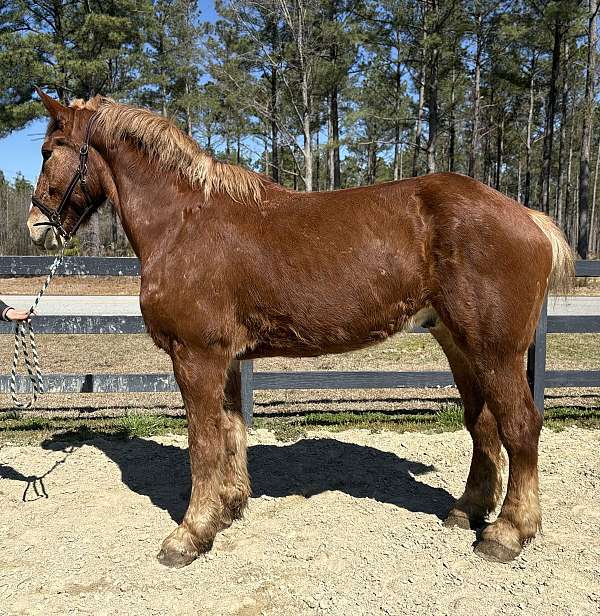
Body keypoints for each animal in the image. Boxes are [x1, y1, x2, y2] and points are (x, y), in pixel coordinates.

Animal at [27, 91, 572, 568]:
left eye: (49, 150)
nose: (36, 225)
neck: (183, 222)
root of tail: (528, 216)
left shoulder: (195, 355)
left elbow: (203, 442)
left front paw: (189, 534)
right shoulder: (226, 359)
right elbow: (231, 430)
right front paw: (227, 509)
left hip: (496, 350)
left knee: (520, 425)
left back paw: (509, 532)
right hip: (460, 344)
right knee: (482, 425)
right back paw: (468, 510)